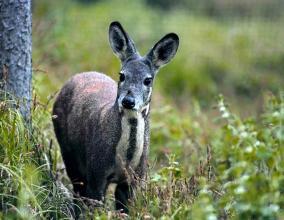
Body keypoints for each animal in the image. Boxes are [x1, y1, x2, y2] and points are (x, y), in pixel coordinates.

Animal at [52, 21, 179, 212]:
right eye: (122, 75)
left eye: (148, 80)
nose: (128, 101)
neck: (124, 160)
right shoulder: (96, 172)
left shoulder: (134, 179)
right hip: (67, 150)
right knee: (77, 191)